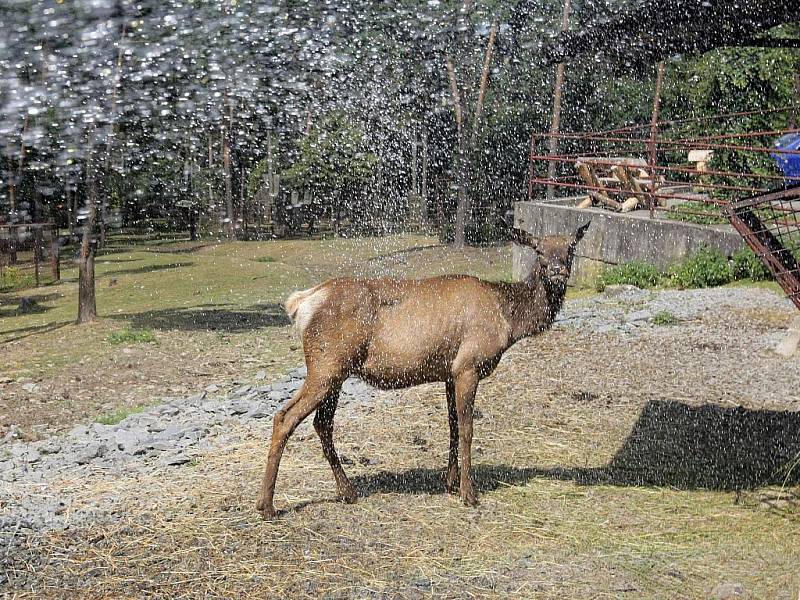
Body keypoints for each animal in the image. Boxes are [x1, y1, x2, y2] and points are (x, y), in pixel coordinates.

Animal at [256, 223, 588, 516]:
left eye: (570, 248)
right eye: (539, 250)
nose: (558, 271)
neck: (508, 319)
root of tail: (301, 303)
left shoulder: (450, 372)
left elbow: (452, 426)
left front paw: (450, 482)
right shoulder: (469, 365)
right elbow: (467, 429)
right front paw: (469, 493)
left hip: (335, 372)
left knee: (322, 424)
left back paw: (347, 491)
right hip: (325, 366)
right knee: (284, 417)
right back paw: (267, 505)